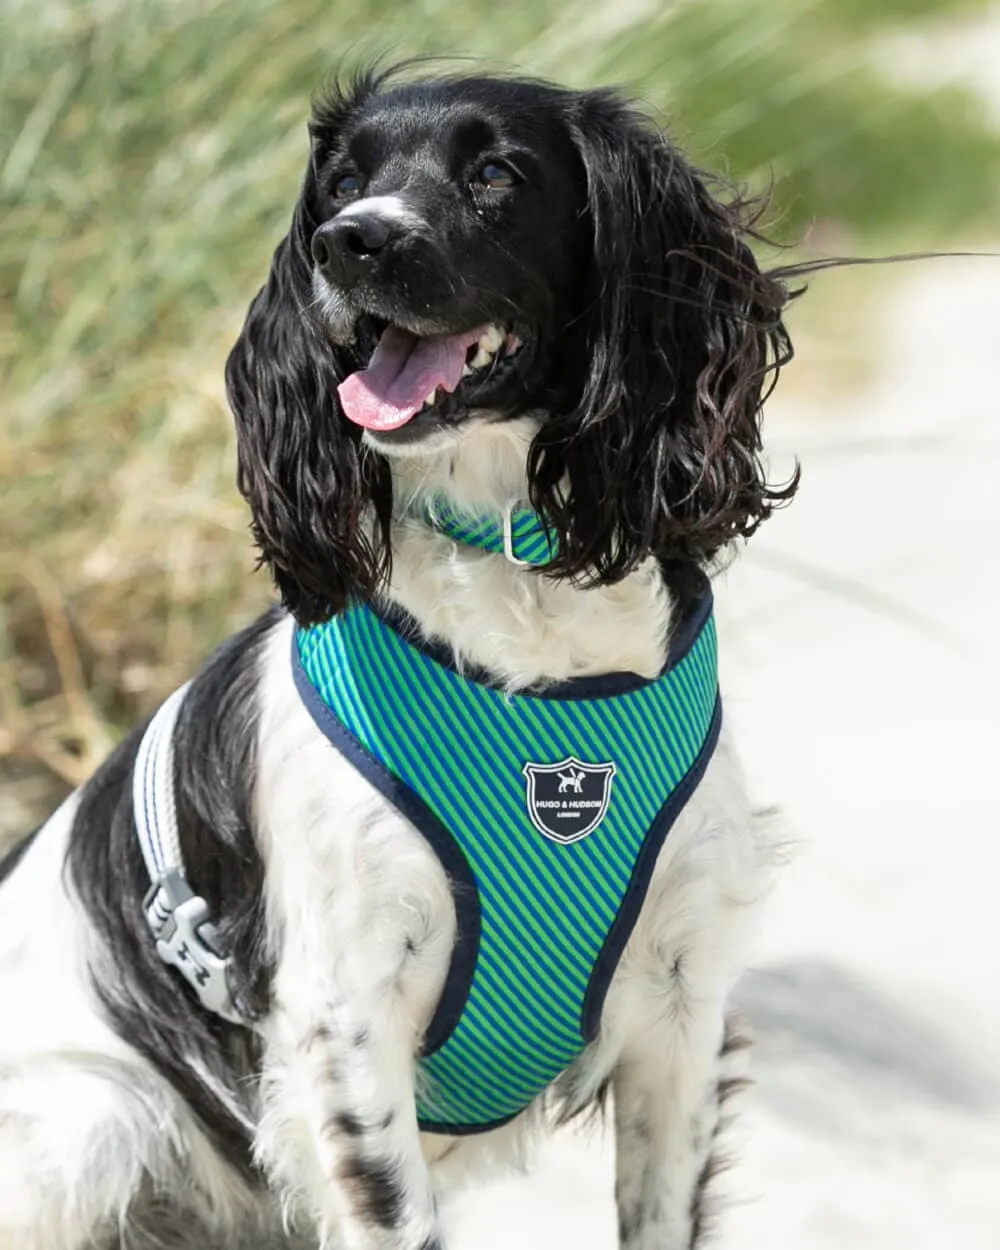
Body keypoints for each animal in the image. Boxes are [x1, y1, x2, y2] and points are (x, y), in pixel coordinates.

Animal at [0, 65, 795, 1250]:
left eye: (496, 173)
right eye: (340, 180)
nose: (349, 242)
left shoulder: (680, 1001)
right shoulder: (345, 1027)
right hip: (91, 1115)